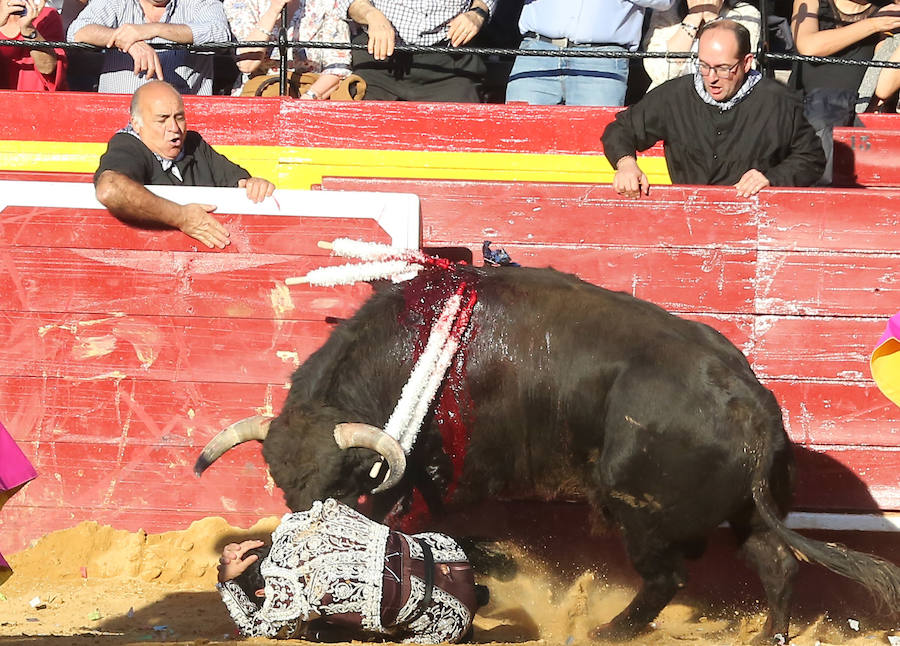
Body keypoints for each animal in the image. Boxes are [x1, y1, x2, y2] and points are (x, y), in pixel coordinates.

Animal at [197, 264, 900, 644]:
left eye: (340, 482)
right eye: (281, 483)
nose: (295, 541)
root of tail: (752, 405)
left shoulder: (431, 477)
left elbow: (420, 520)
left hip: (640, 510)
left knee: (668, 577)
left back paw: (608, 629)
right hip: (745, 510)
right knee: (776, 564)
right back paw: (771, 634)